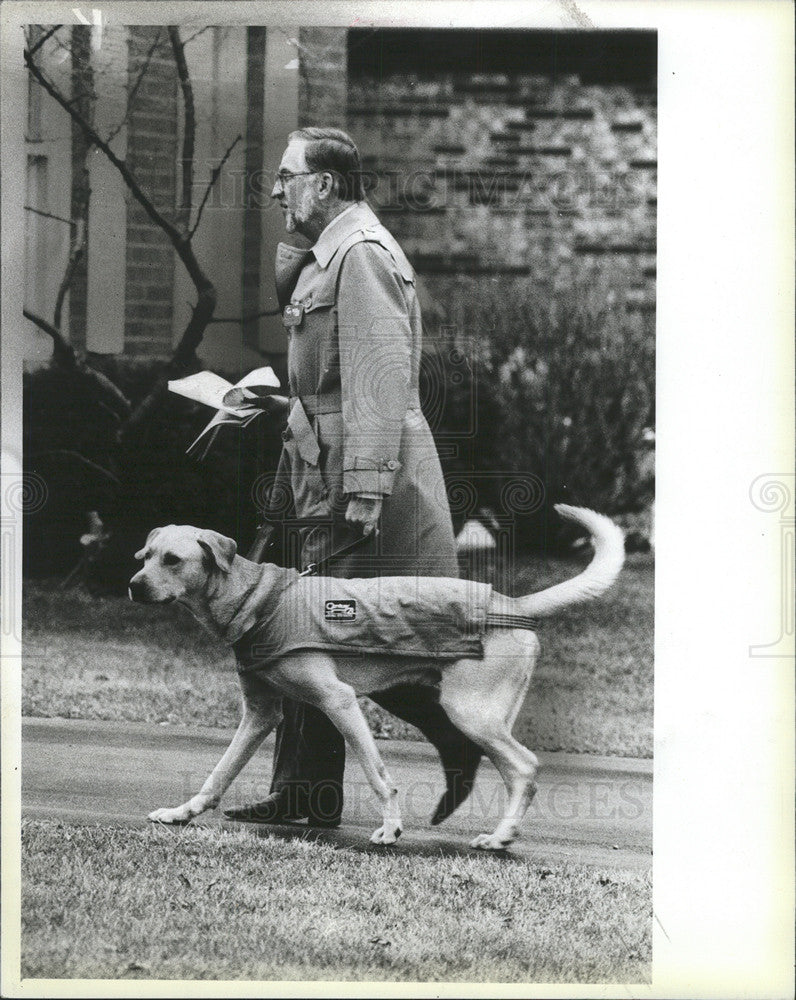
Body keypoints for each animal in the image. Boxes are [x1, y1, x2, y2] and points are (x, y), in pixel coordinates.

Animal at [129, 508, 620, 852]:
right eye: (146, 556)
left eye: (173, 559)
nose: (133, 585)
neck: (258, 598)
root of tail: (509, 603)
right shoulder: (260, 714)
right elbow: (220, 772)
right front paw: (183, 813)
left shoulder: (338, 700)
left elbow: (378, 773)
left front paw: (390, 828)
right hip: (480, 716)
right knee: (513, 770)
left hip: (472, 713)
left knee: (525, 767)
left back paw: (500, 837)